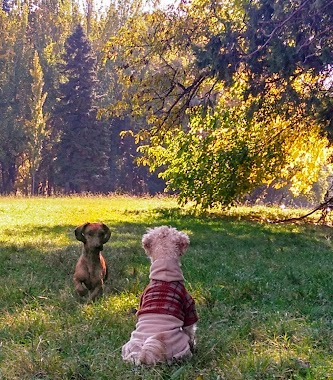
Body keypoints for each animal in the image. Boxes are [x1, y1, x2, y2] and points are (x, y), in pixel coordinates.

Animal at [121, 226, 197, 366]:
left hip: (129, 346)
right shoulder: (189, 307)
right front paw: (194, 344)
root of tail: (143, 355)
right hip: (180, 348)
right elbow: (190, 329)